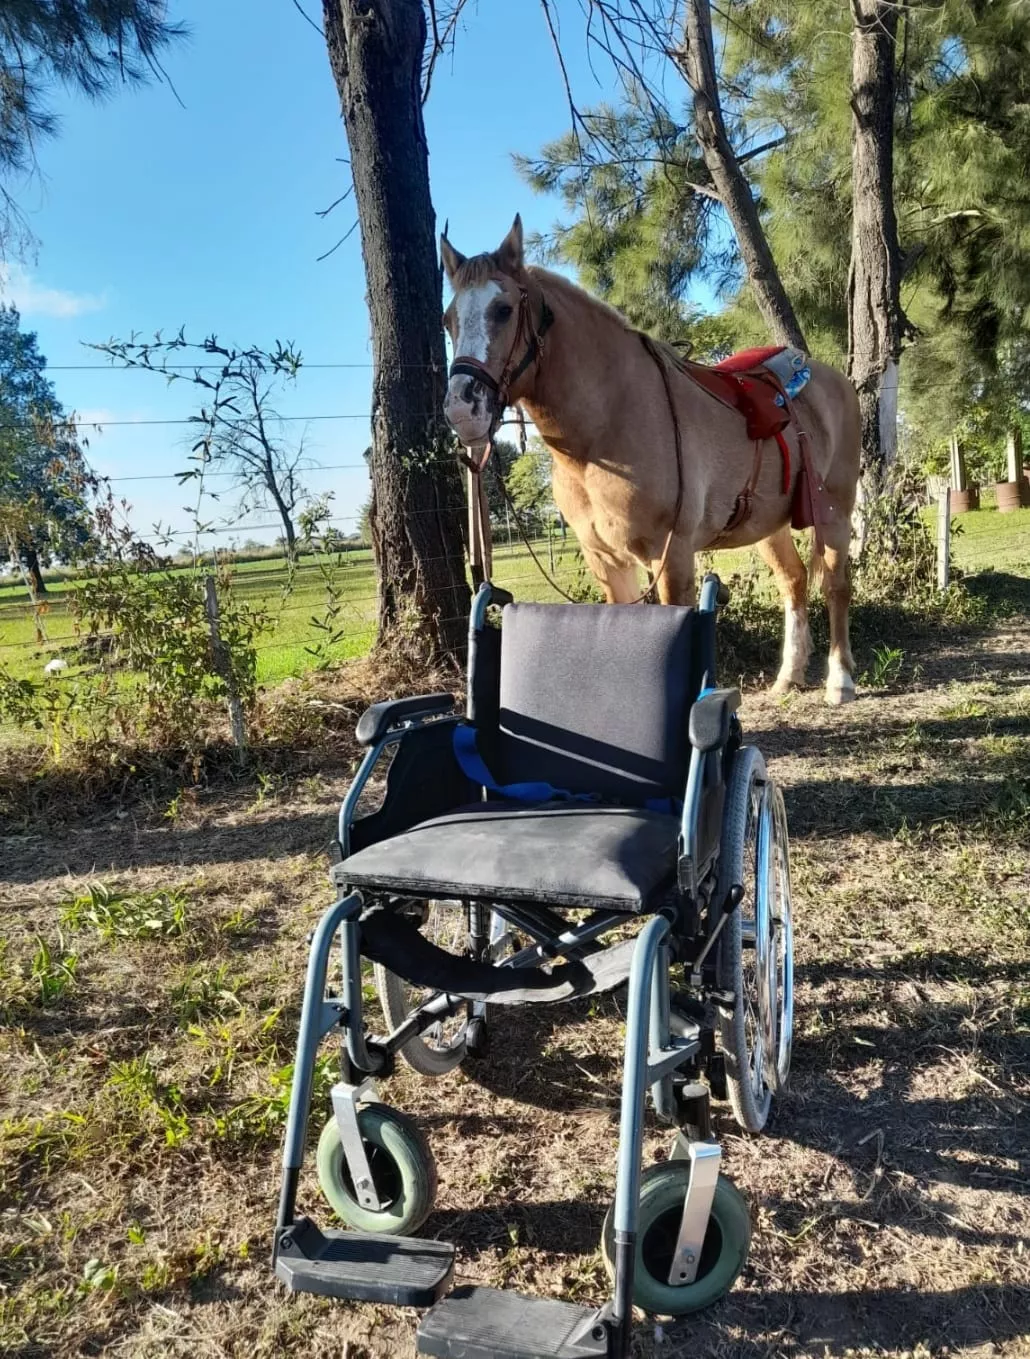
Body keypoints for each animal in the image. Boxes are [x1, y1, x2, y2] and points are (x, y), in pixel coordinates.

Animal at [440, 215, 862, 705]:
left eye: (504, 310)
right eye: (449, 320)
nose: (461, 410)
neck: (606, 428)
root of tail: (834, 380)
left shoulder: (672, 557)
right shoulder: (606, 562)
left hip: (835, 511)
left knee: (835, 585)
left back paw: (840, 680)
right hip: (769, 527)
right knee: (793, 582)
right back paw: (789, 675)